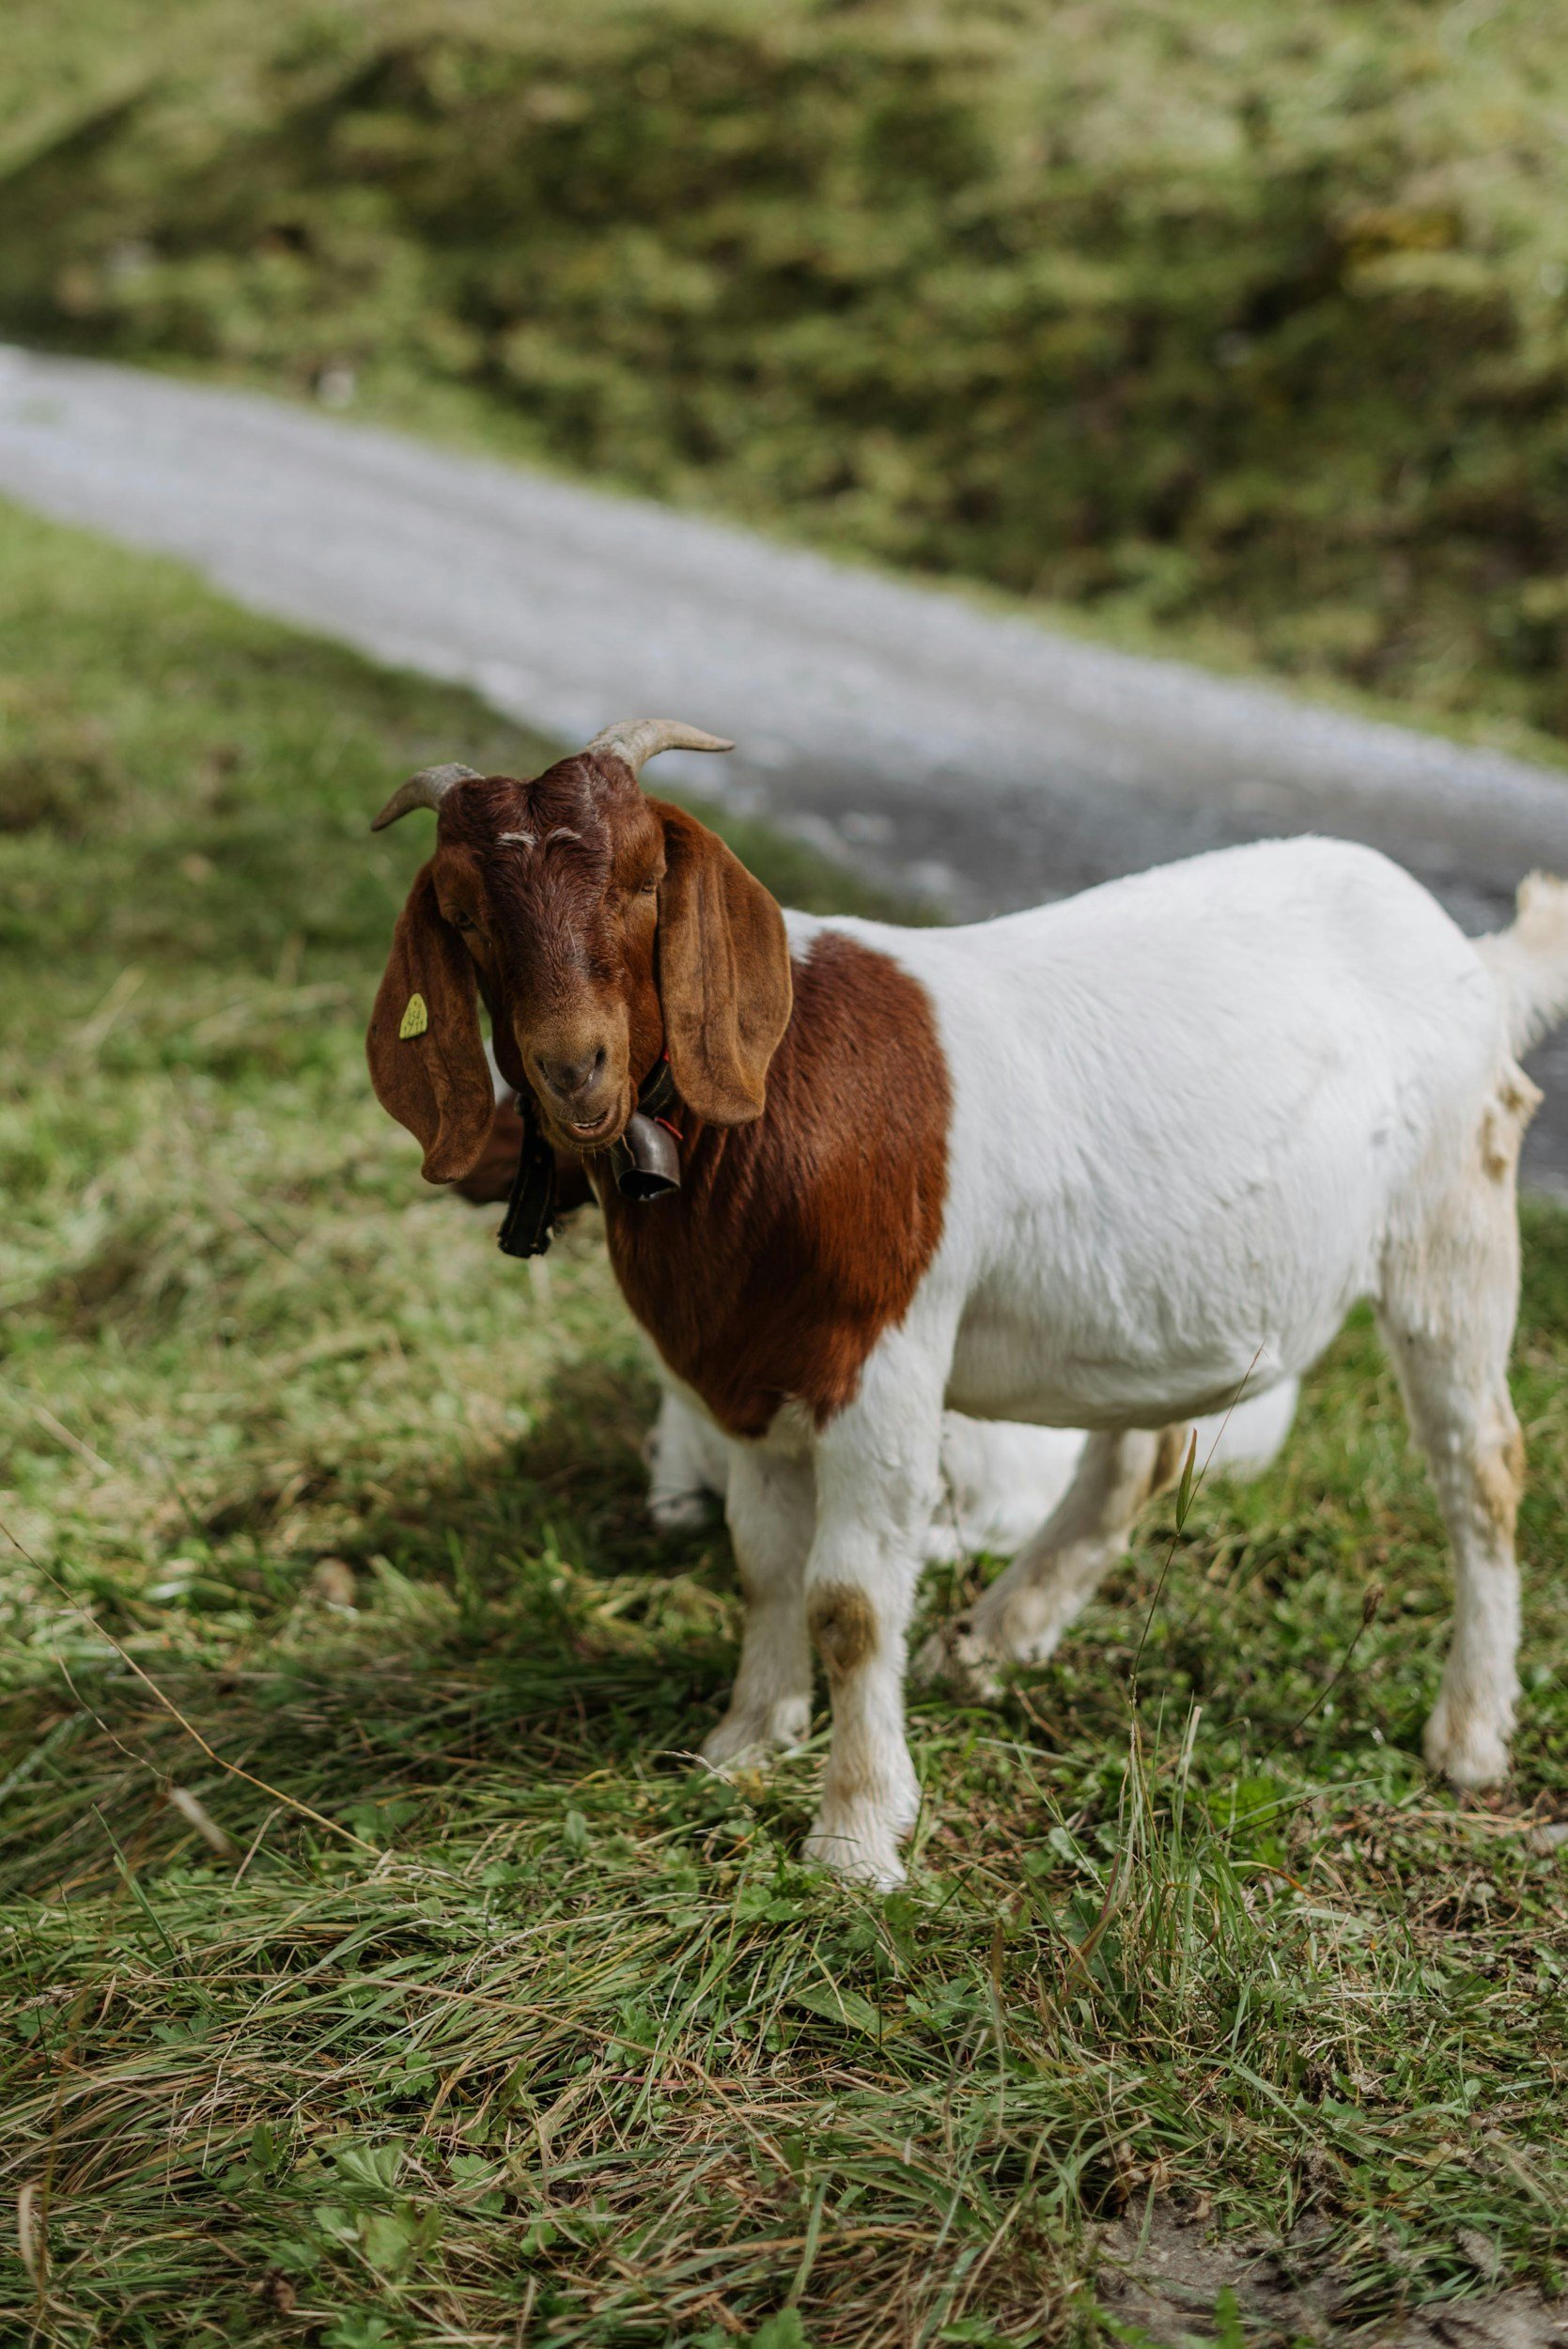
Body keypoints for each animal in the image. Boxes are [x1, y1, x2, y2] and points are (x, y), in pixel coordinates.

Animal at [367, 720, 1568, 1886]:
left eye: (643, 878)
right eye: (462, 912)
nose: (573, 1067)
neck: (757, 1111)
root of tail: (1463, 955)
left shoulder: (884, 1358)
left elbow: (847, 1600)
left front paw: (856, 1838)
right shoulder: (746, 1374)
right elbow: (763, 1564)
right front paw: (746, 1742)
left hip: (1453, 1219)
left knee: (1480, 1463)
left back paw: (1468, 1733)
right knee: (1142, 1452)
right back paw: (990, 1640)